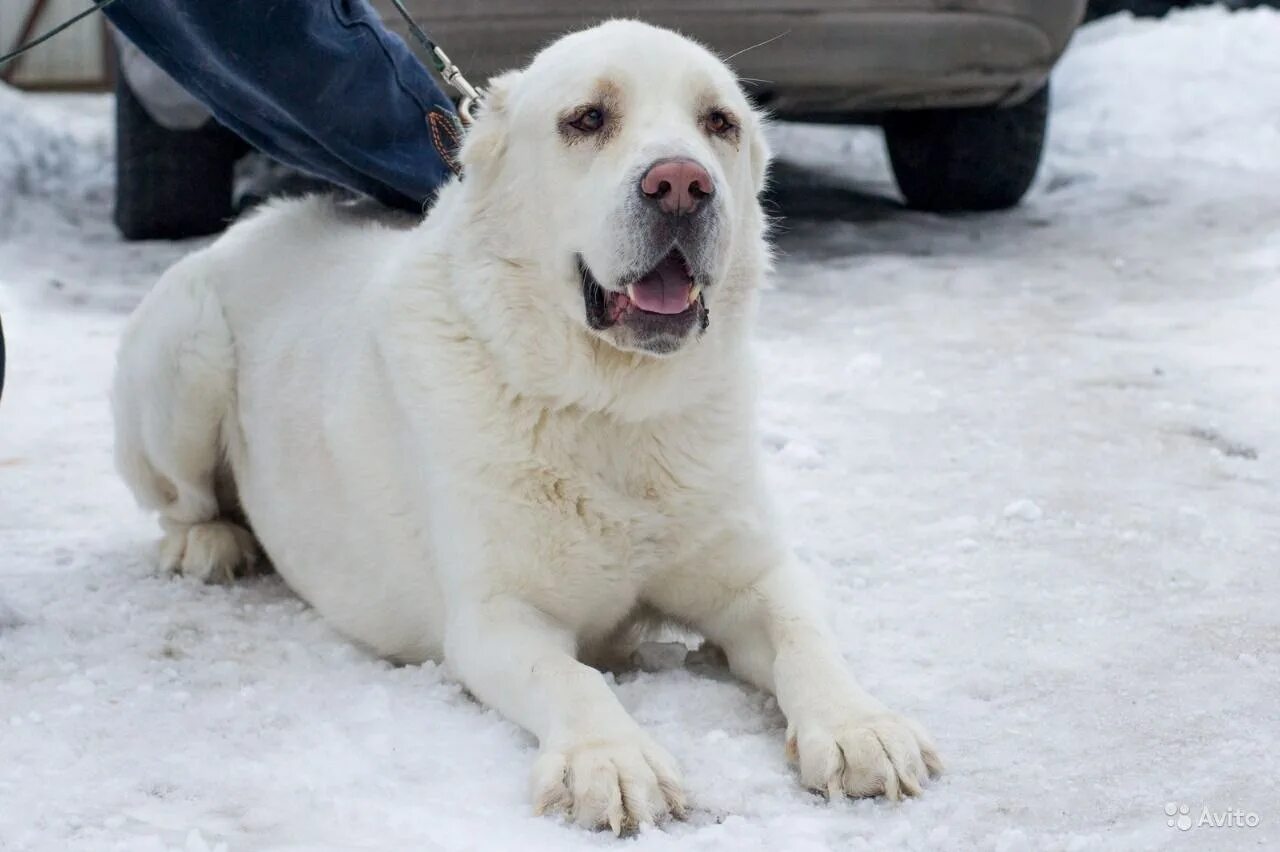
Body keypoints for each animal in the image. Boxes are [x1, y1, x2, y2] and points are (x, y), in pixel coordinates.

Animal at [112, 18, 942, 828]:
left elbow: (807, 639)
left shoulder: (755, 576)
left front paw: (858, 725)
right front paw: (612, 759)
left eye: (719, 123)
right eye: (588, 119)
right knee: (182, 498)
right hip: (187, 348)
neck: (615, 409)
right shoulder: (495, 617)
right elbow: (571, 678)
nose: (681, 183)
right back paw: (210, 541)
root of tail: (258, 220)